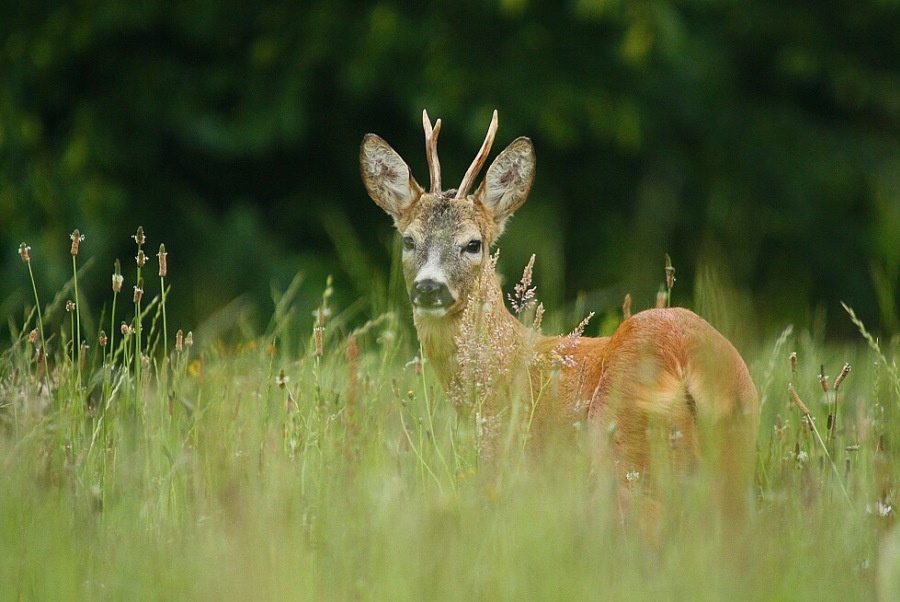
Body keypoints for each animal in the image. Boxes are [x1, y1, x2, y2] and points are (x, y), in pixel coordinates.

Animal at [360, 110, 760, 528]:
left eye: (473, 244)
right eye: (409, 240)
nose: (429, 287)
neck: (504, 367)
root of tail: (689, 358)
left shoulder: (507, 459)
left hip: (624, 446)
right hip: (735, 450)